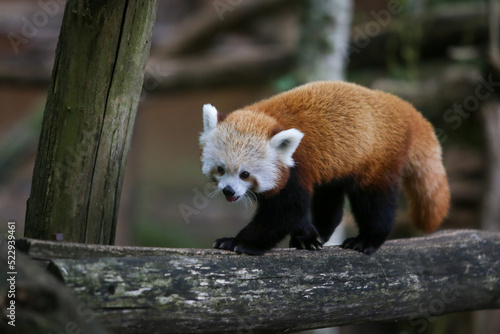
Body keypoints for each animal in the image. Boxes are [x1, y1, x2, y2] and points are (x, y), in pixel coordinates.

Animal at [199, 81, 450, 256]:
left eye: (245, 174)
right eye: (220, 169)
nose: (229, 191)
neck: (267, 117)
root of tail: (400, 106)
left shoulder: (295, 168)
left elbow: (285, 211)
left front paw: (238, 242)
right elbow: (296, 211)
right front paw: (307, 236)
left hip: (377, 158)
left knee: (375, 202)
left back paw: (367, 239)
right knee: (330, 200)